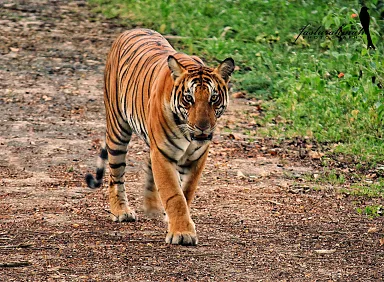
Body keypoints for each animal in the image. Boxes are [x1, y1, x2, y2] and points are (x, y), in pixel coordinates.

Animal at [86, 27, 234, 246]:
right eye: (188, 98)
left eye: (213, 98)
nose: (203, 128)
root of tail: (132, 29)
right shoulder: (163, 154)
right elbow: (174, 194)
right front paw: (182, 232)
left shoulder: (197, 156)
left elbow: (186, 191)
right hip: (117, 130)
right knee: (116, 175)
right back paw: (121, 211)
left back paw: (153, 205)